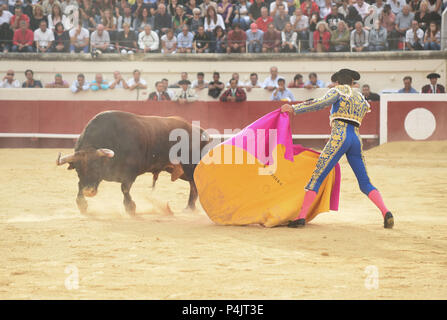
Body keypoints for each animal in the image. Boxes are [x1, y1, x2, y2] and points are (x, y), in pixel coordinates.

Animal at [57, 110, 212, 215]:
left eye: (96, 167)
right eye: (78, 170)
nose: (88, 192)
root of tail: (200, 131)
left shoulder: (129, 173)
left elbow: (125, 189)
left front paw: (130, 208)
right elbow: (79, 184)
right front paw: (82, 205)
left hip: (190, 166)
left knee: (195, 184)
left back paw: (190, 208)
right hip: (180, 170)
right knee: (193, 184)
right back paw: (189, 208)